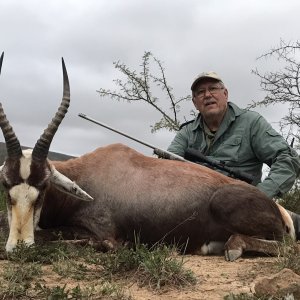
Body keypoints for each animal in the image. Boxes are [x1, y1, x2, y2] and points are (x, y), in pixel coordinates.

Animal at [0, 52, 296, 262]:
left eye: (43, 186)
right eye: (6, 184)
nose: (19, 247)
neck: (86, 174)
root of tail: (279, 211)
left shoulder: (103, 236)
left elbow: (57, 237)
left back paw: (234, 247)